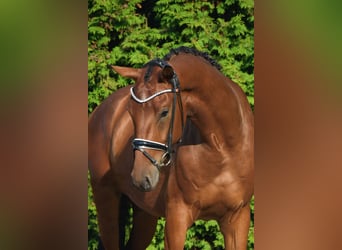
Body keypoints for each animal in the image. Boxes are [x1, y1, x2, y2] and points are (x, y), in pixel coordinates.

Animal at [113, 46, 254, 249]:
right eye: (130, 113)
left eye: (164, 112)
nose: (140, 178)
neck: (224, 146)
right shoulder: (176, 218)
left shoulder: (238, 219)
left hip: (144, 214)